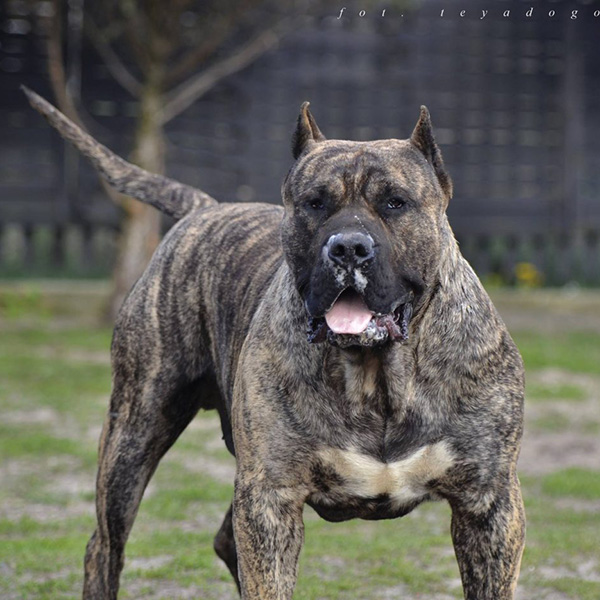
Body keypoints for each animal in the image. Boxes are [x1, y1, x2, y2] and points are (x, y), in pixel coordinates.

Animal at [23, 88, 524, 600]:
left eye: (395, 203)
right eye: (315, 203)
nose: (348, 247)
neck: (377, 375)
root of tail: (206, 208)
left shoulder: (488, 503)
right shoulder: (270, 497)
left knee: (223, 538)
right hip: (134, 430)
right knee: (105, 546)